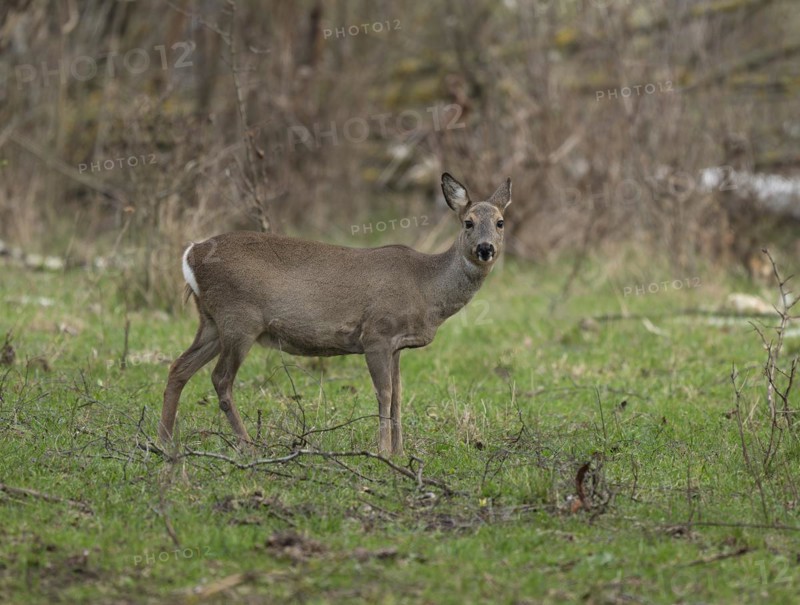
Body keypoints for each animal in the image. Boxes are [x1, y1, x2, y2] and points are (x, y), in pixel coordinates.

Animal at [159, 173, 511, 455]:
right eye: (468, 222)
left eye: (500, 222)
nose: (485, 249)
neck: (426, 287)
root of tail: (191, 253)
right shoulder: (376, 334)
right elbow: (384, 393)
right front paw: (383, 451)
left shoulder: (397, 345)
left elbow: (398, 395)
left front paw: (400, 451)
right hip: (239, 320)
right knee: (220, 379)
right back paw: (248, 447)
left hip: (211, 322)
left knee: (179, 367)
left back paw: (164, 440)